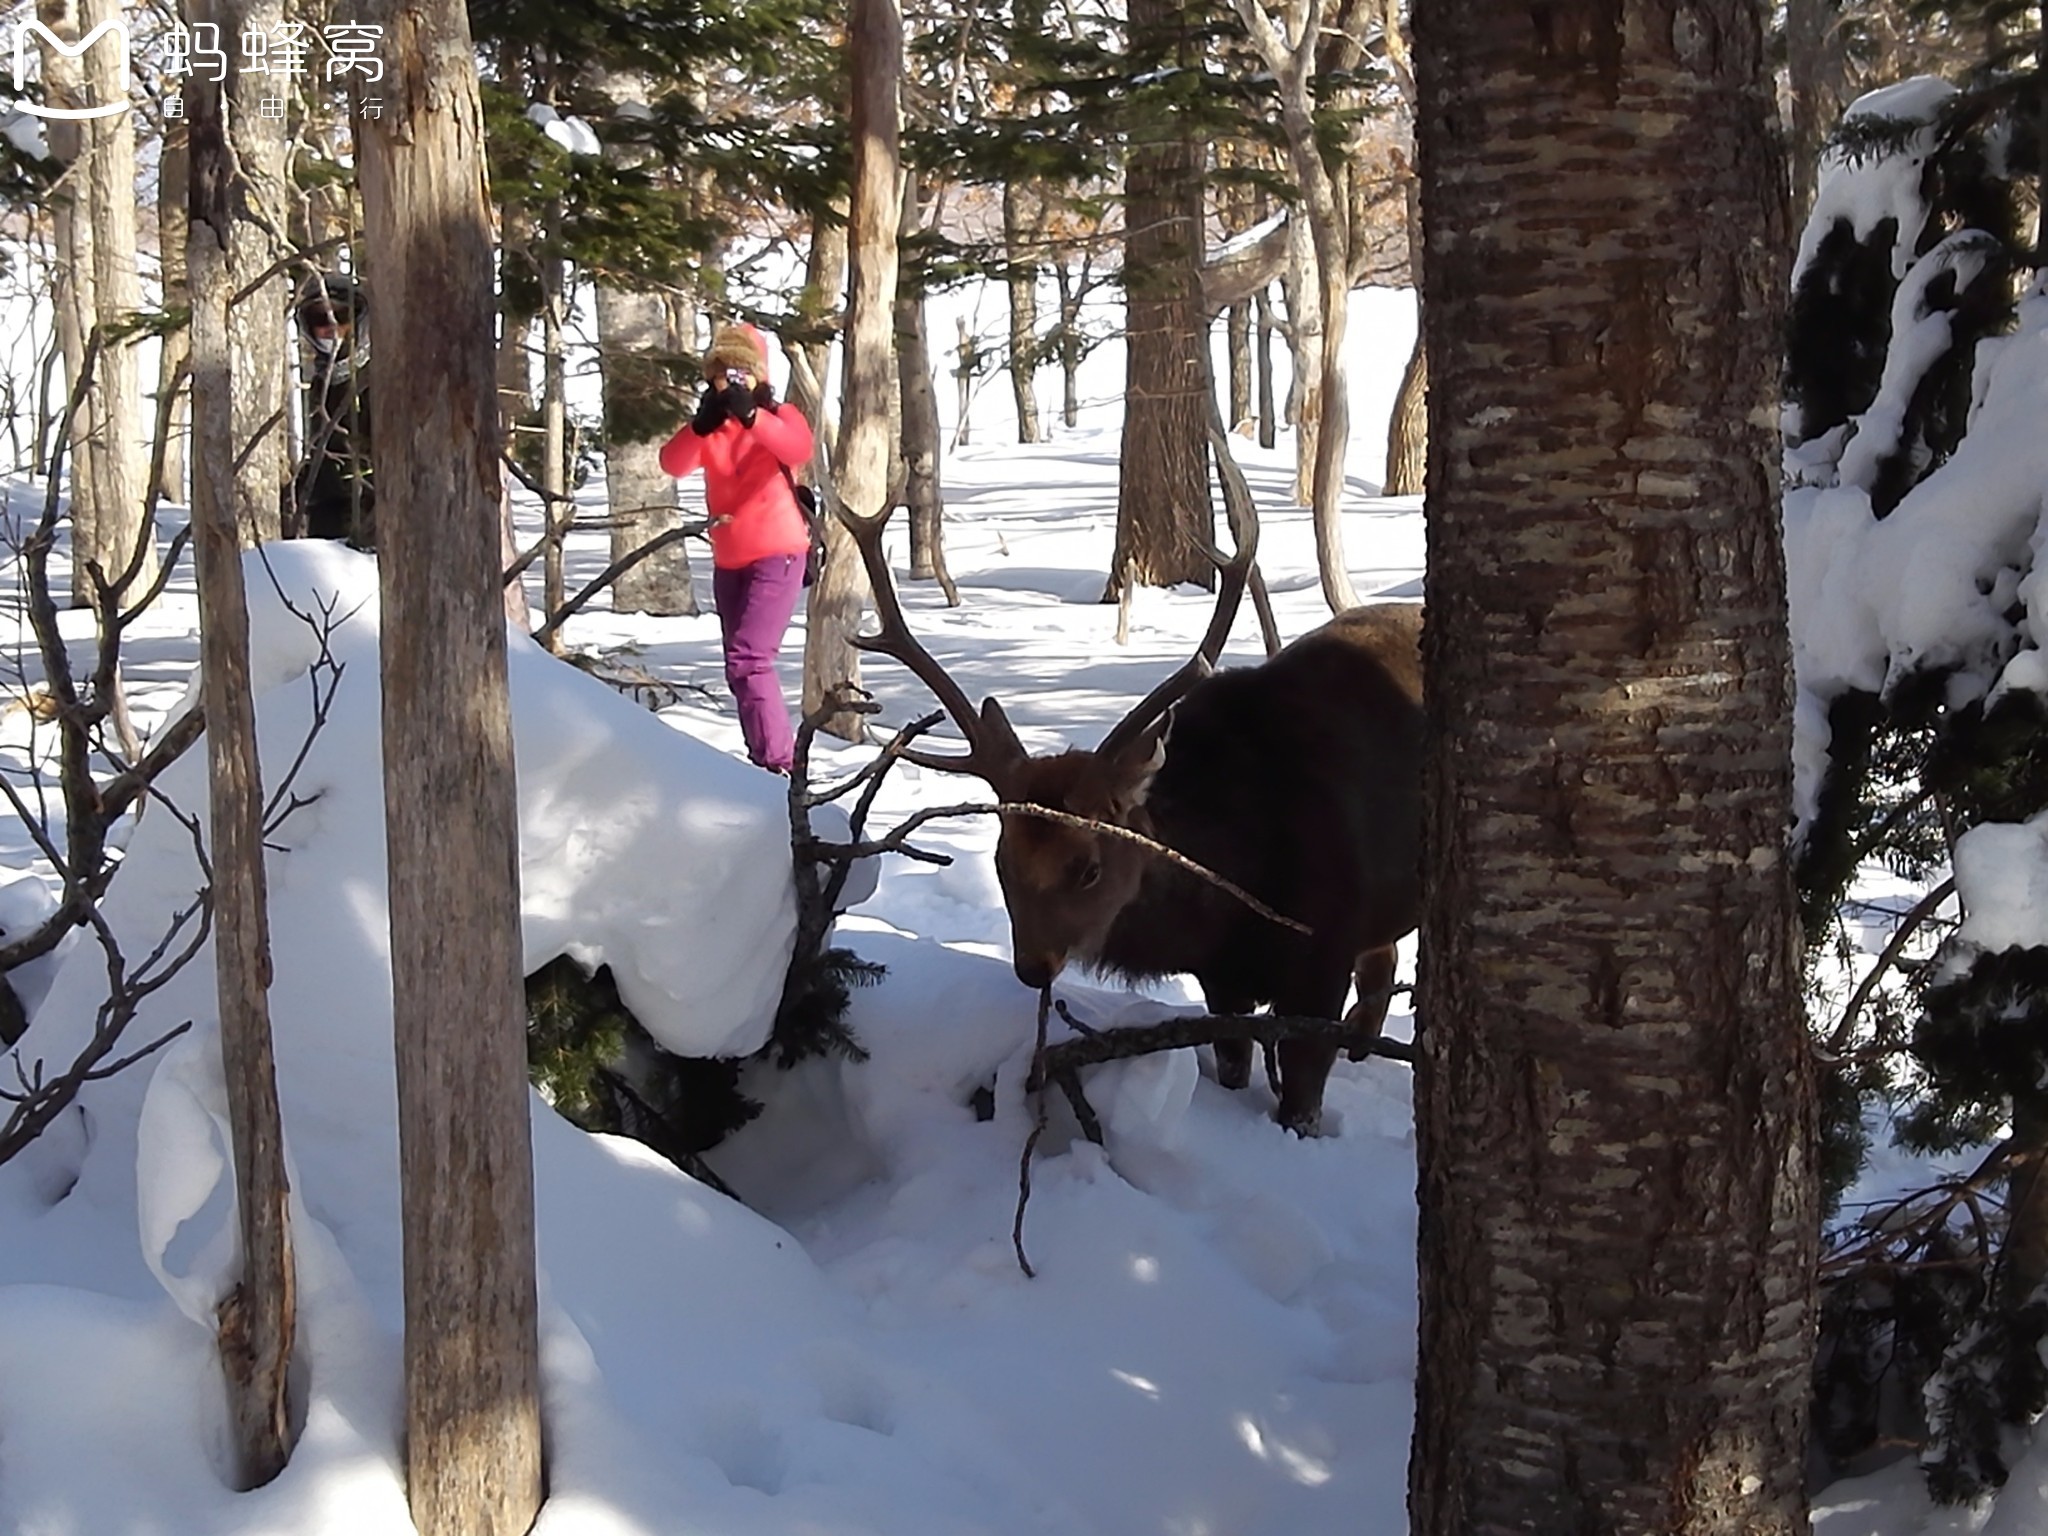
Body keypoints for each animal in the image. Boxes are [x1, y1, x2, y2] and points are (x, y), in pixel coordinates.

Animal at [839, 499, 1417, 1138]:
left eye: (1089, 867)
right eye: (1000, 860)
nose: (1034, 967)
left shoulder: (1325, 951)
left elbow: (1302, 1096)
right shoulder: (1222, 977)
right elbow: (1233, 1065)